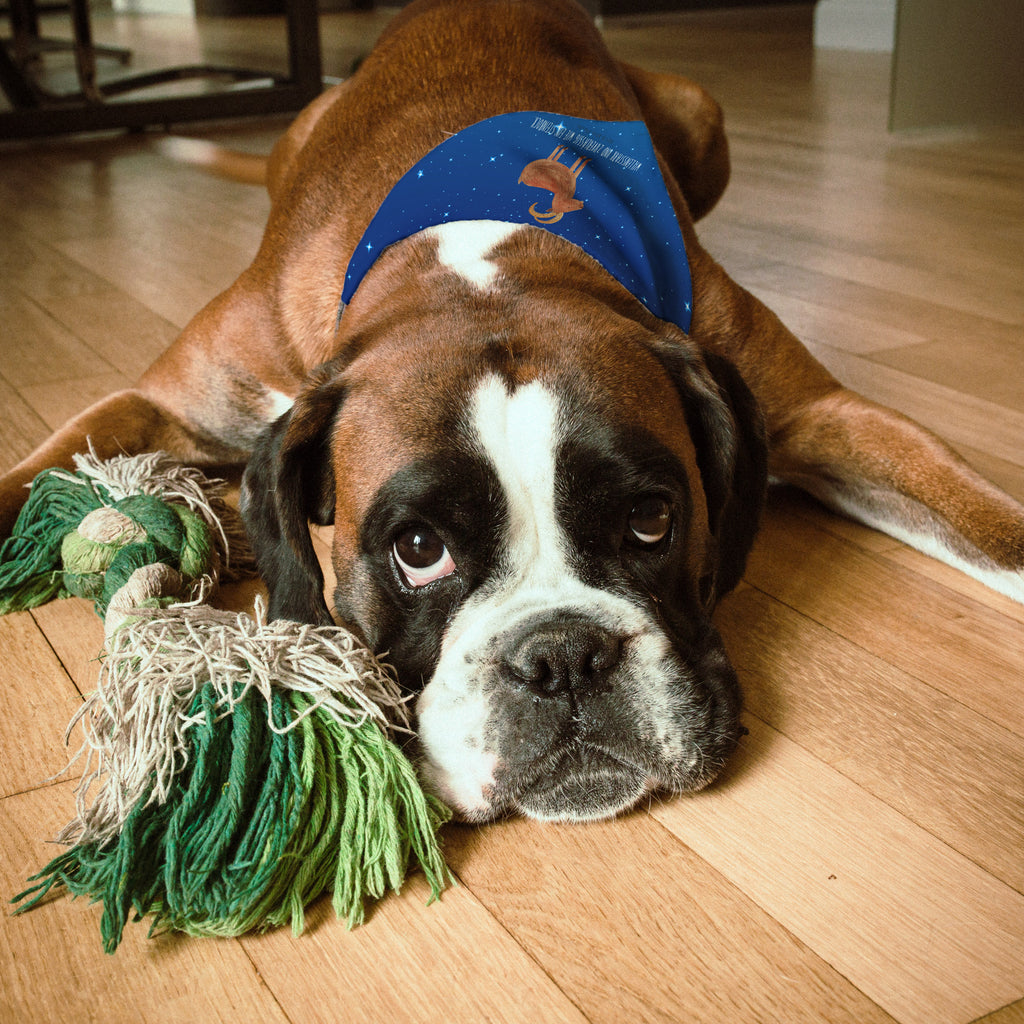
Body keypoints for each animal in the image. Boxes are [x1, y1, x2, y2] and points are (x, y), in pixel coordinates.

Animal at [2, 0, 1024, 819]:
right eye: (418, 549)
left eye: (652, 519)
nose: (563, 657)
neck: (485, 260)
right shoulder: (158, 402)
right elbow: (31, 477)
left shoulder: (822, 416)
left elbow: (997, 532)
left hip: (701, 114)